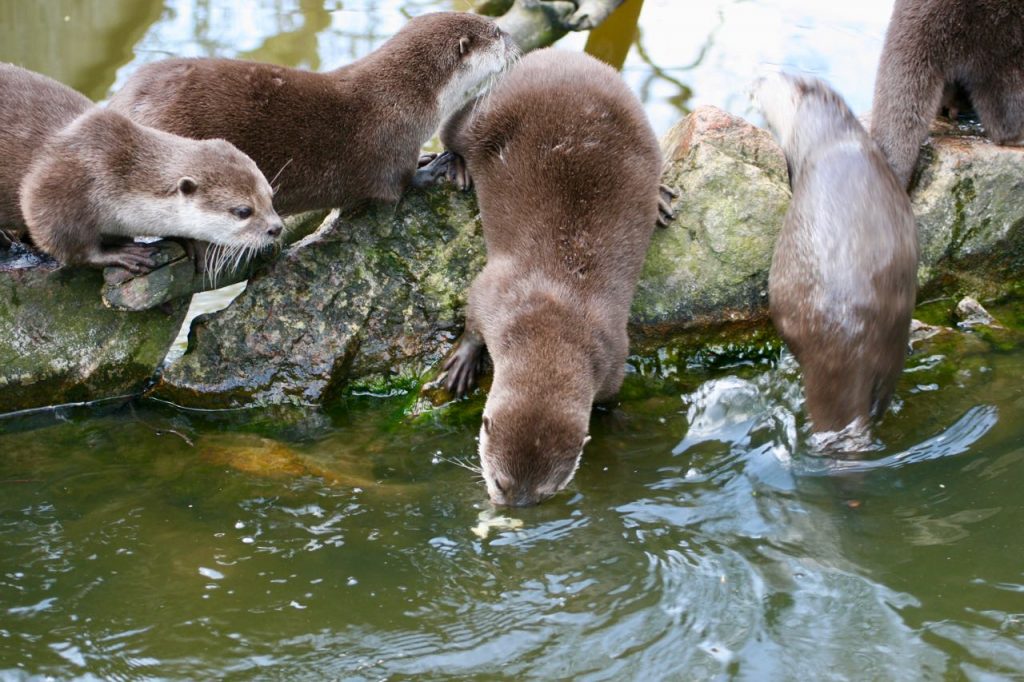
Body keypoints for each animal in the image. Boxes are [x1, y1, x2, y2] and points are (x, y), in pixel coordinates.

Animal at [0, 62, 284, 270]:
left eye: (270, 197)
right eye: (243, 211)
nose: (277, 228)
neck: (115, 173)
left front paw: (189, 240)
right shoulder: (57, 185)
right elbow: (65, 243)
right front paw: (118, 254)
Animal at [110, 11, 520, 214]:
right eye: (497, 31)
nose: (516, 38)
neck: (407, 93)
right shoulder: (392, 139)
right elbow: (398, 186)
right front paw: (434, 165)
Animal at [421, 49, 663, 503]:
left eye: (545, 493)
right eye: (500, 480)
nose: (513, 507)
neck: (554, 318)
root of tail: (558, 55)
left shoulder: (614, 349)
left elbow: (609, 395)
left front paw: (613, 418)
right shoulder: (495, 289)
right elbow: (473, 315)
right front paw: (462, 362)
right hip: (485, 113)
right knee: (450, 131)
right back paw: (457, 167)